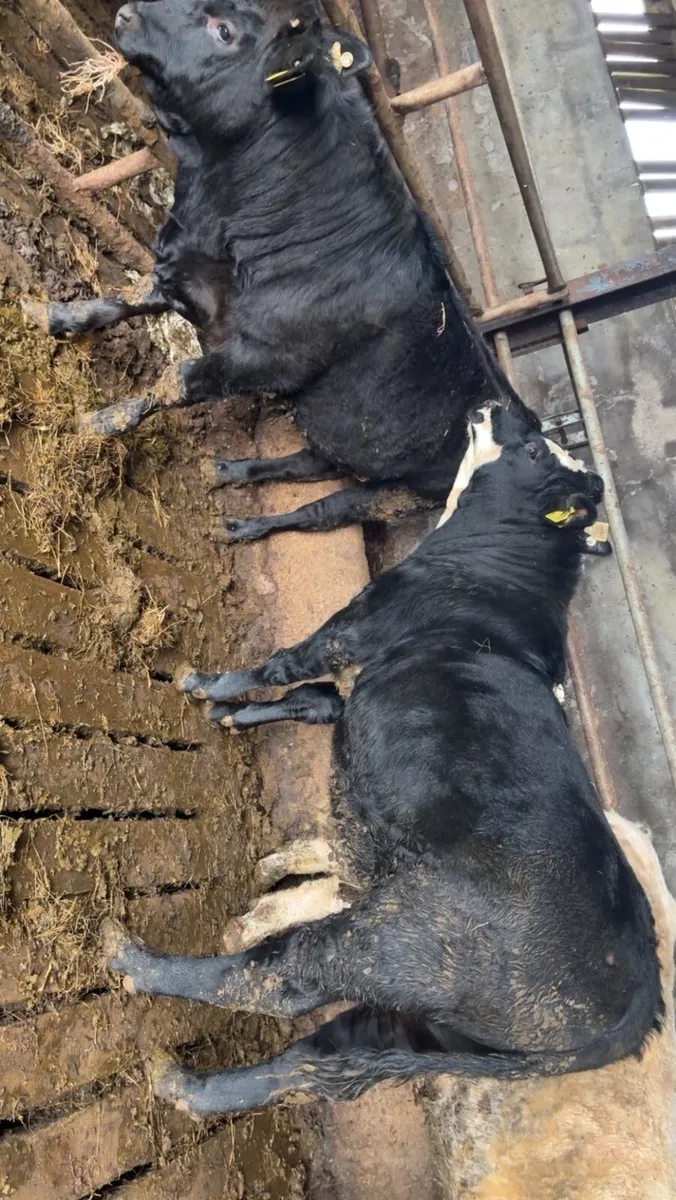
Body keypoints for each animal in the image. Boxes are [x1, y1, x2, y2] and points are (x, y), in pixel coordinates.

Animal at [23, 0, 539, 543]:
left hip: (403, 494)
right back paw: (226, 470)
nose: (126, 13)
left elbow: (176, 380)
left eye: (224, 32)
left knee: (325, 510)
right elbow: (128, 297)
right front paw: (52, 315)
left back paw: (242, 527)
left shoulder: (269, 356)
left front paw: (94, 424)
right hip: (343, 437)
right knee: (305, 462)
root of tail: (531, 424)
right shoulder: (200, 281)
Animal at [102, 402, 660, 1121]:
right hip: (427, 1027)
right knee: (311, 1066)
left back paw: (133, 959)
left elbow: (283, 665)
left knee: (278, 977)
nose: (496, 407)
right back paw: (183, 1084)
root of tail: (637, 1007)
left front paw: (207, 687)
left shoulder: (355, 625)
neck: (504, 566)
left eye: (536, 450)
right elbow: (311, 703)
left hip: (400, 946)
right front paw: (238, 737)